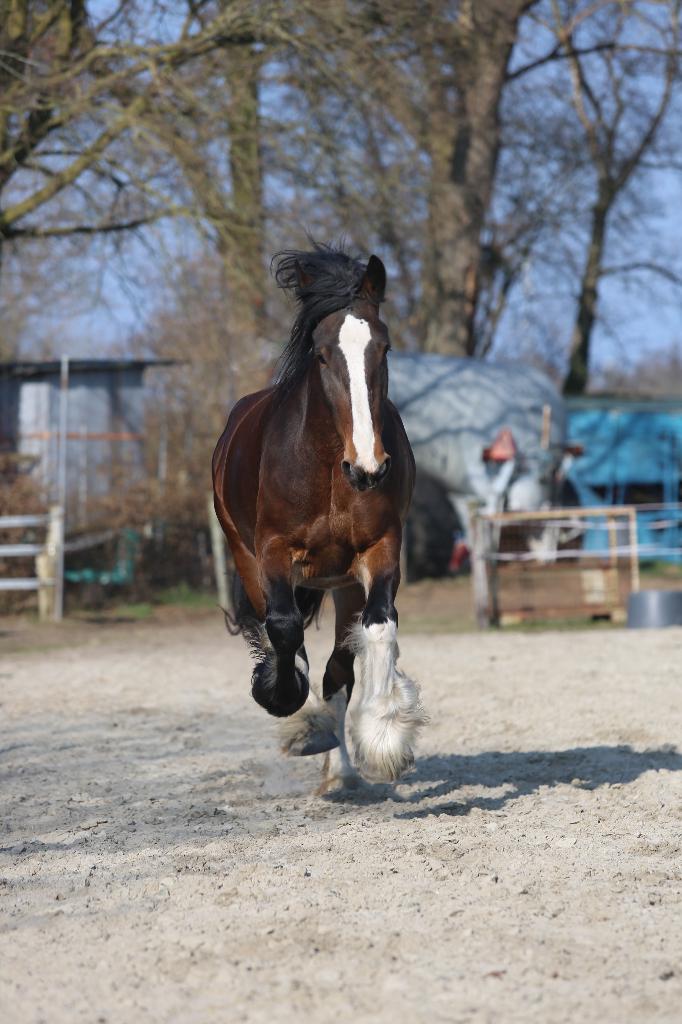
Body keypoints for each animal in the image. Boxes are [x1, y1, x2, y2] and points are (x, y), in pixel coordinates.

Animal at [212, 243, 426, 791]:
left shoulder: (380, 549)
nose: (368, 467)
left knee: (339, 670)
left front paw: (384, 737)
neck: (330, 468)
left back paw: (340, 771)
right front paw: (291, 709)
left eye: (383, 348)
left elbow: (378, 629)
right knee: (284, 635)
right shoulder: (272, 553)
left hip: (344, 585)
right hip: (246, 557)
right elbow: (284, 630)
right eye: (323, 353)